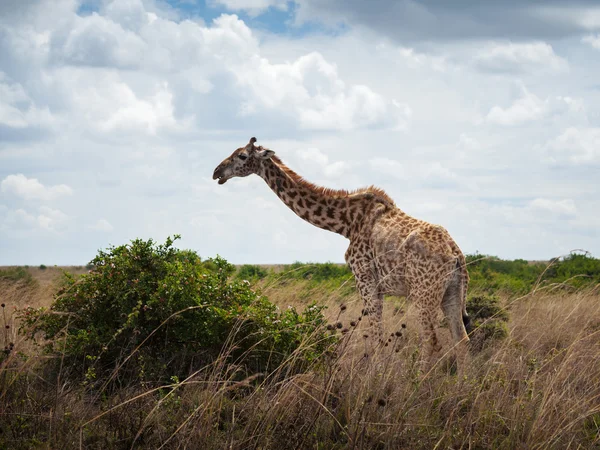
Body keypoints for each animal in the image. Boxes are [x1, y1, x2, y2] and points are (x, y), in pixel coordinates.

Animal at [213, 139, 472, 370]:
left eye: (242, 156)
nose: (217, 172)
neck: (346, 223)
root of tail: (456, 256)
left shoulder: (366, 280)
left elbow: (375, 337)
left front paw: (374, 381)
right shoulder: (376, 287)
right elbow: (377, 336)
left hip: (423, 293)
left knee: (432, 341)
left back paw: (417, 383)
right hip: (452, 292)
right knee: (462, 340)